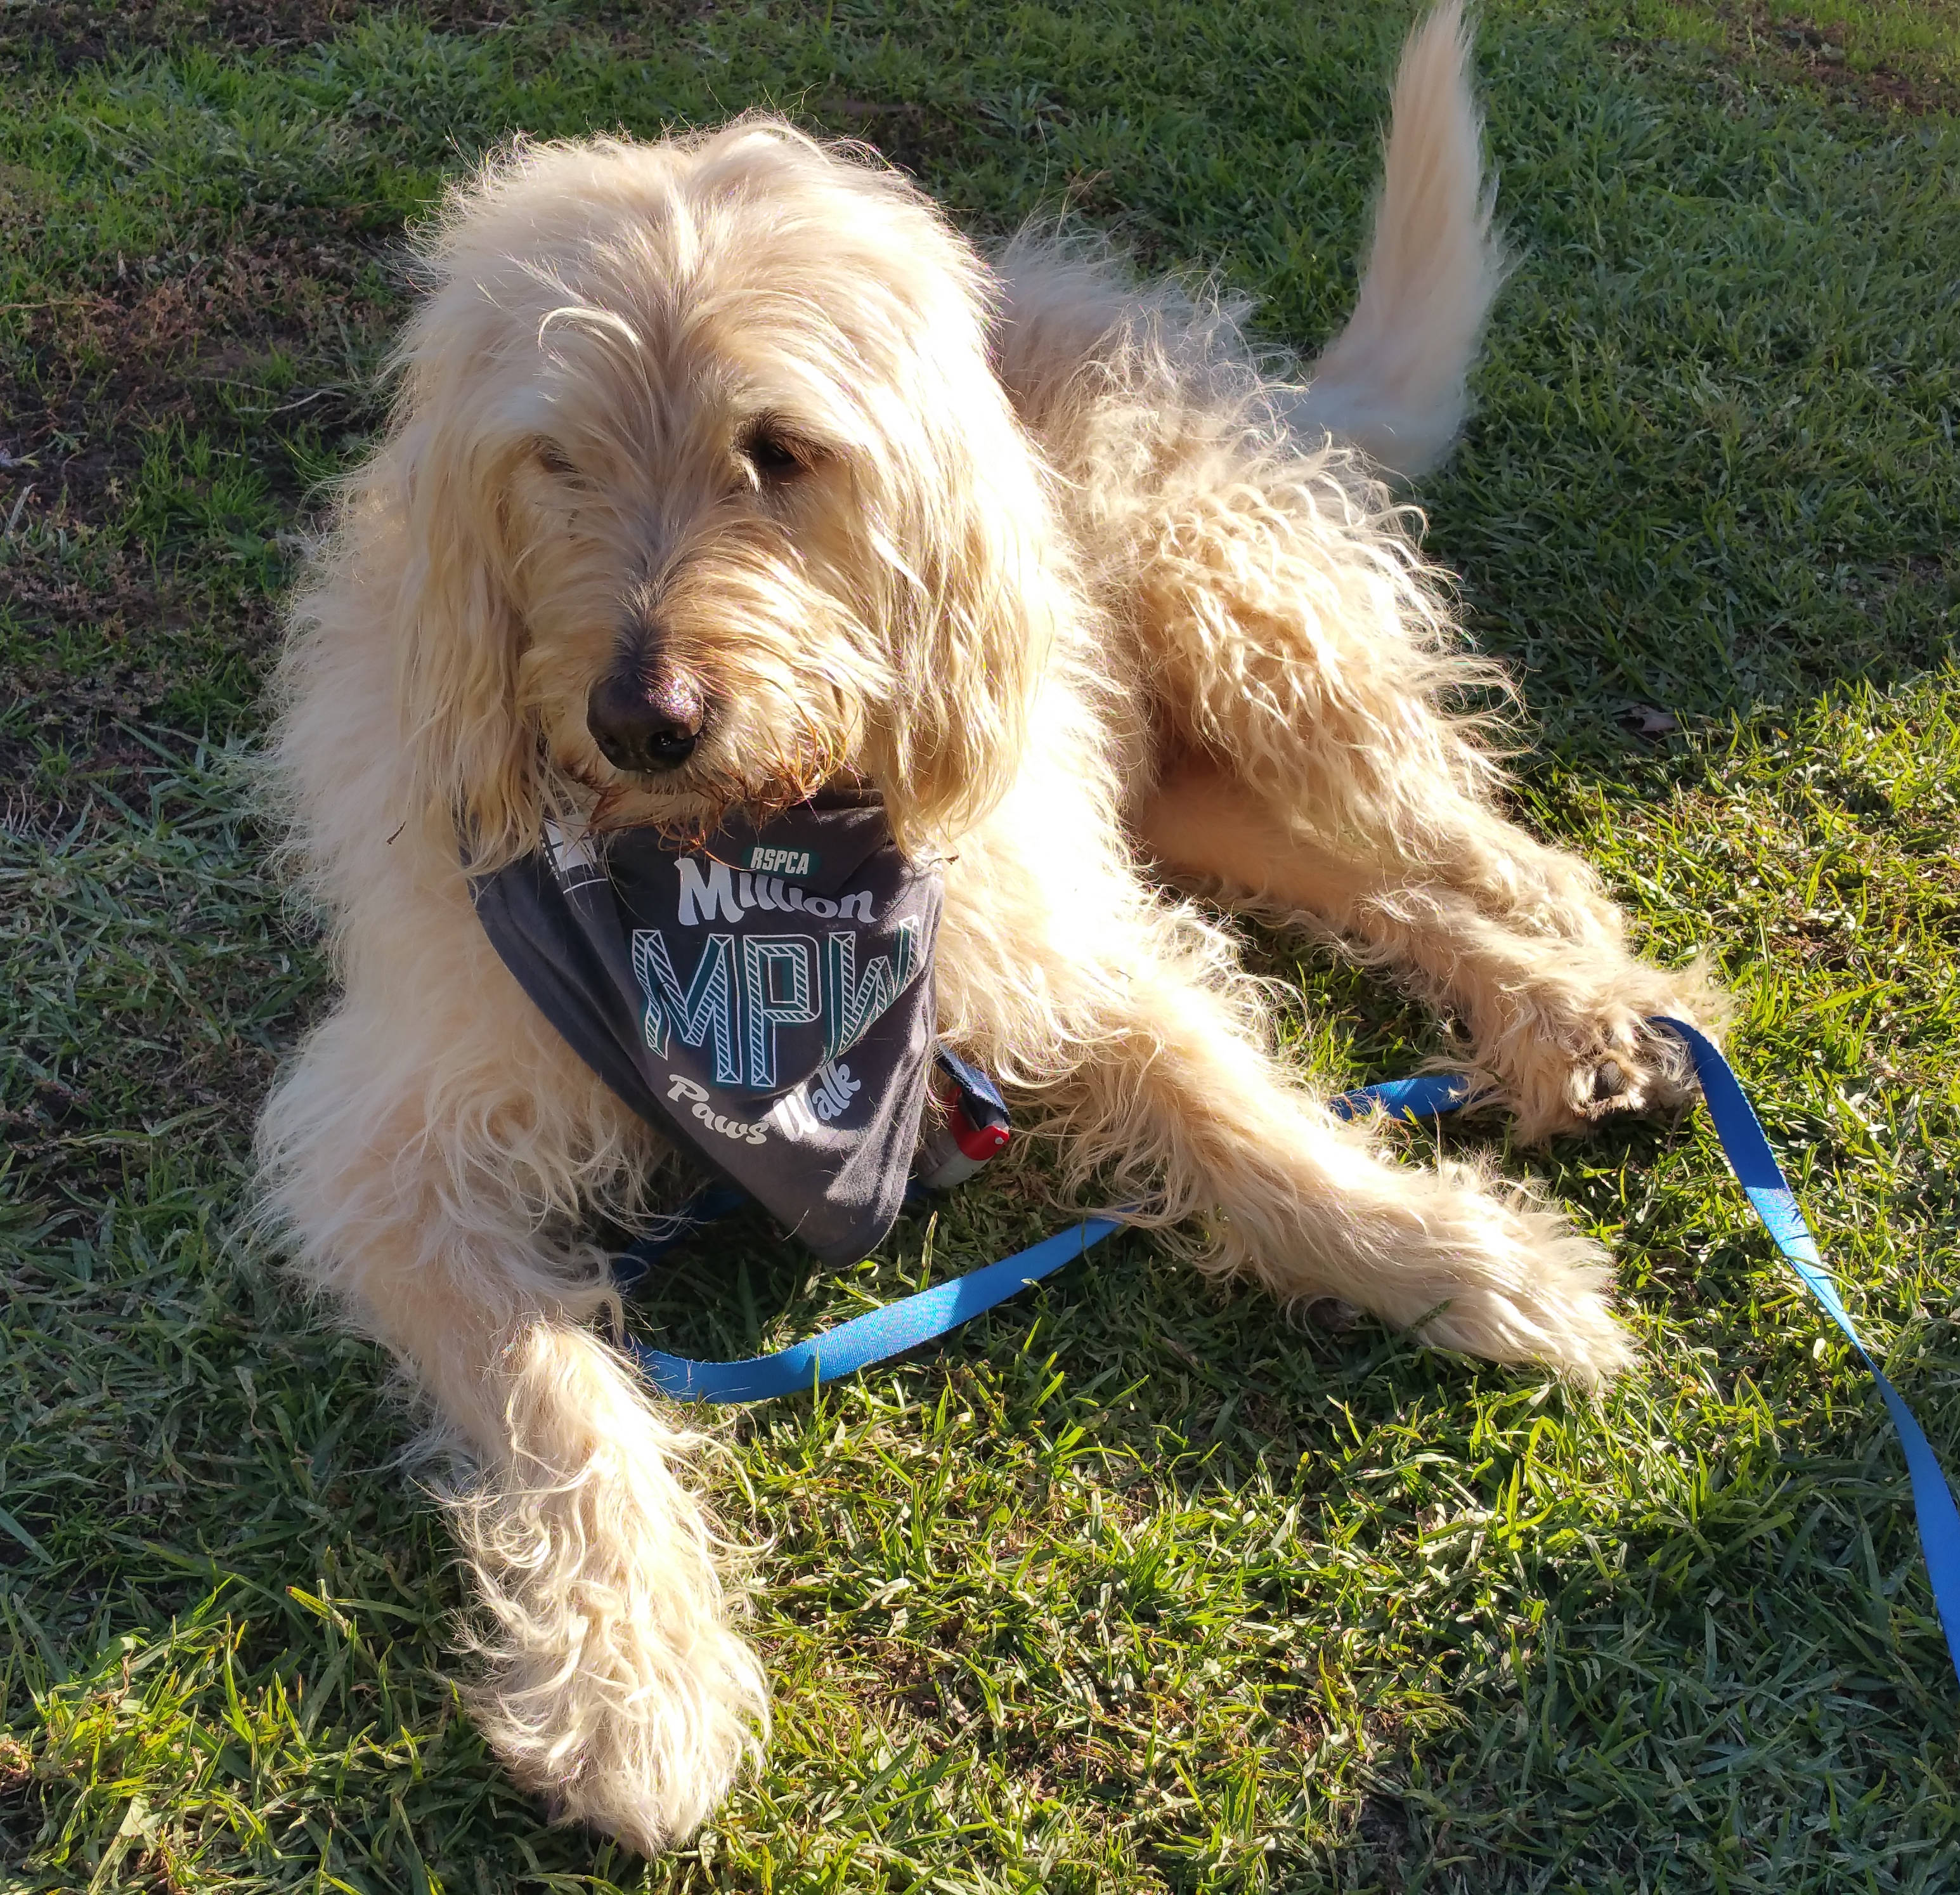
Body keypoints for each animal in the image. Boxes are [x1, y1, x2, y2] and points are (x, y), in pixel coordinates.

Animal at [255, 1, 1719, 1856]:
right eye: (554, 455)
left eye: (778, 449)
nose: (639, 717)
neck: (732, 867)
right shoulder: (392, 1137)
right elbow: (552, 1386)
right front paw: (634, 1680)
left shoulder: (1048, 943)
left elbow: (1242, 1119)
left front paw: (1452, 1257)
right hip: (1170, 778)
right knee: (1351, 872)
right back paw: (1558, 1019)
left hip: (1238, 623)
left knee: (1449, 827)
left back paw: (1575, 988)